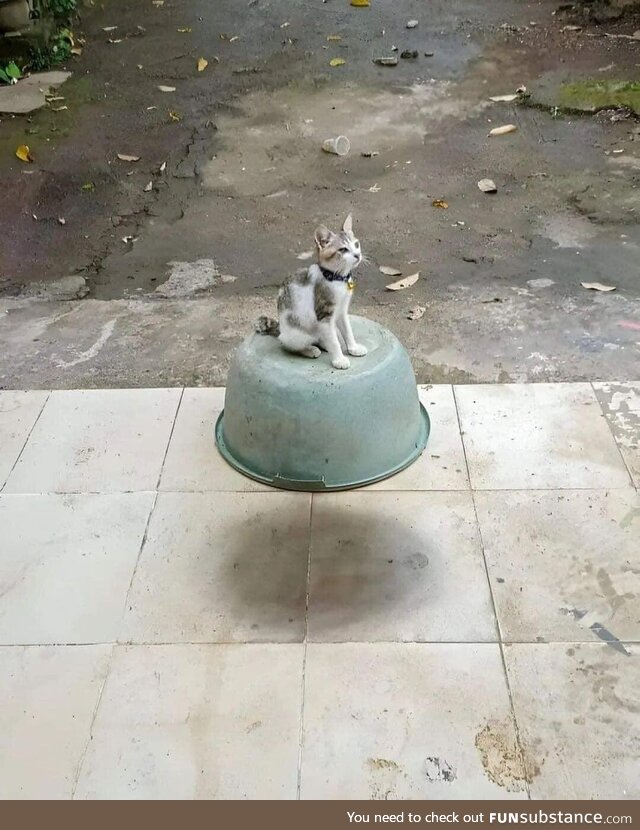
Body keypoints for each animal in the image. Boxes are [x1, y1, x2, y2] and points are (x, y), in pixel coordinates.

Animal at [256, 214, 368, 370]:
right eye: (343, 249)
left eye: (356, 244)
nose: (358, 255)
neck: (337, 279)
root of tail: (280, 328)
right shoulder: (324, 314)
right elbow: (333, 341)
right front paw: (339, 359)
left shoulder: (341, 311)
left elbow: (347, 331)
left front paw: (353, 347)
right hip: (296, 334)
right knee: (287, 345)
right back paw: (310, 350)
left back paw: (323, 344)